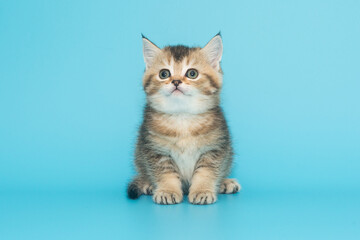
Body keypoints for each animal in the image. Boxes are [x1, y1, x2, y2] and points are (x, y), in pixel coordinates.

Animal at [128, 32, 240, 203]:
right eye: (164, 74)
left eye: (192, 73)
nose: (176, 81)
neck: (182, 116)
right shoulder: (155, 149)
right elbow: (165, 173)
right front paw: (167, 190)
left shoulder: (215, 148)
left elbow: (206, 172)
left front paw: (202, 190)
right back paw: (147, 184)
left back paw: (225, 183)